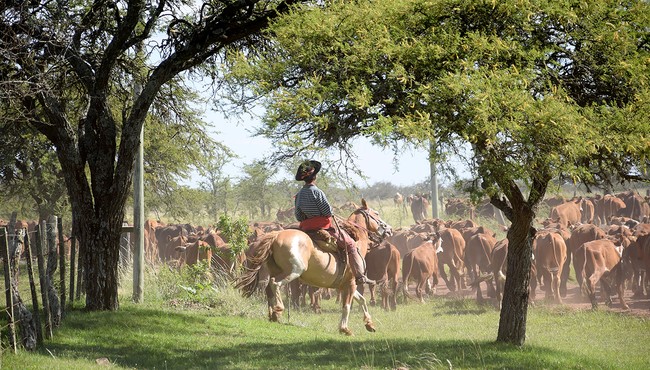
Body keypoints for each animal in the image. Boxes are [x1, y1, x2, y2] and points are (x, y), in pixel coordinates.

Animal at [235, 199, 392, 336]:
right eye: (376, 213)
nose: (389, 229)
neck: (356, 241)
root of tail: (276, 235)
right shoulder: (352, 283)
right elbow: (347, 306)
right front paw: (344, 329)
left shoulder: (345, 284)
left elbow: (362, 300)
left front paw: (369, 324)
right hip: (293, 271)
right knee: (275, 283)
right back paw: (278, 309)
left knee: (268, 288)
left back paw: (272, 314)